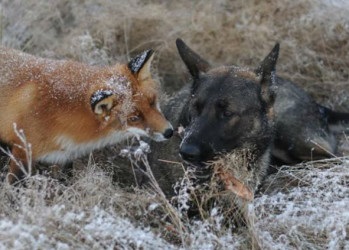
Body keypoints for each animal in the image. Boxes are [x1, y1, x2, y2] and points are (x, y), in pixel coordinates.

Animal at [0, 47, 173, 184]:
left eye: (152, 102)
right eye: (134, 118)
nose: (169, 132)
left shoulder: (64, 158)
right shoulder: (22, 151)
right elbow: (14, 185)